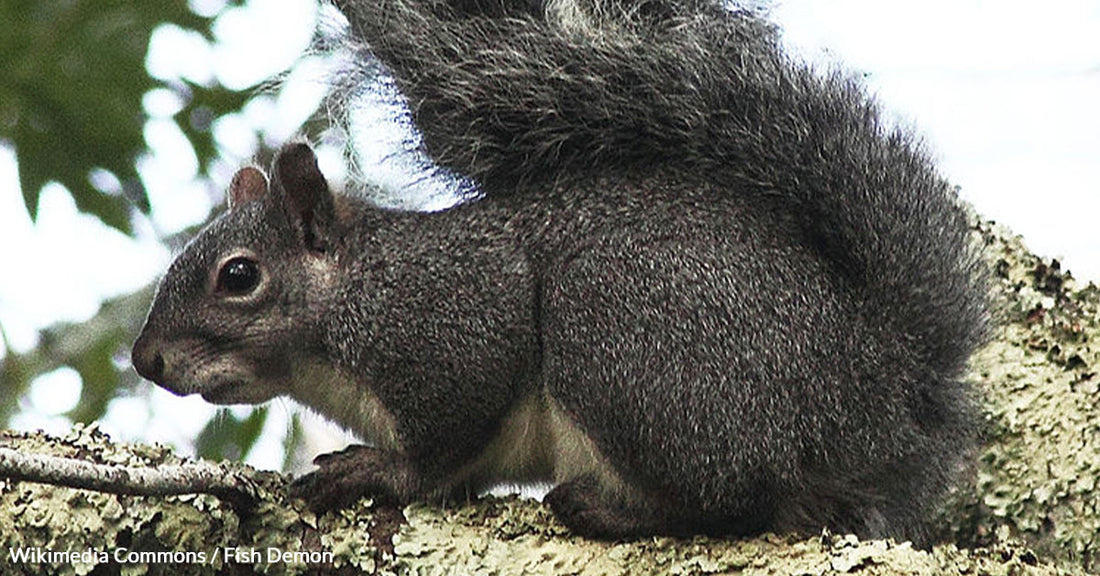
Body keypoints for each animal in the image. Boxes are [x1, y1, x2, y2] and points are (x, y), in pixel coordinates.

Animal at [132, 0, 989, 545]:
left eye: (238, 276)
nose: (146, 359)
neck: (353, 300)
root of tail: (880, 389)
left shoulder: (454, 321)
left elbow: (440, 445)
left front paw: (375, 471)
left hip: (622, 336)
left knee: (733, 500)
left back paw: (611, 512)